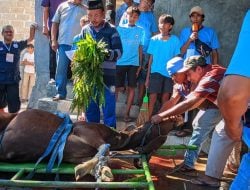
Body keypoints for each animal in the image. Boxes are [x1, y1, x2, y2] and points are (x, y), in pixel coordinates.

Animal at [0, 108, 176, 181]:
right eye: (152, 124)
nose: (175, 118)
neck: (114, 136)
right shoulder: (85, 131)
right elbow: (105, 150)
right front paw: (85, 170)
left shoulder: (74, 156)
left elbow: (101, 157)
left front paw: (104, 171)